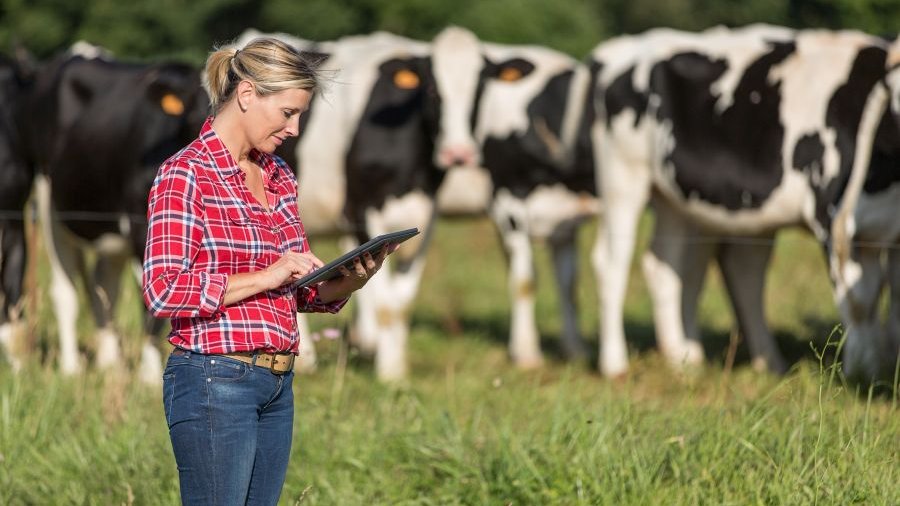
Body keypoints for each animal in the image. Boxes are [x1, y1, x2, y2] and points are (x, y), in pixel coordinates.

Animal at [23, 46, 210, 380]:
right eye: (196, 112)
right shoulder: (141, 227)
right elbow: (151, 304)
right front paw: (149, 375)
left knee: (104, 286)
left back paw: (110, 362)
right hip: (49, 203)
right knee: (65, 290)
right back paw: (71, 367)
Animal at [592, 22, 900, 380]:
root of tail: (625, 46)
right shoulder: (830, 216)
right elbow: (859, 299)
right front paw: (861, 370)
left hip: (676, 200)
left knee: (670, 266)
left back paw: (688, 361)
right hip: (622, 178)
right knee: (612, 261)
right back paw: (616, 365)